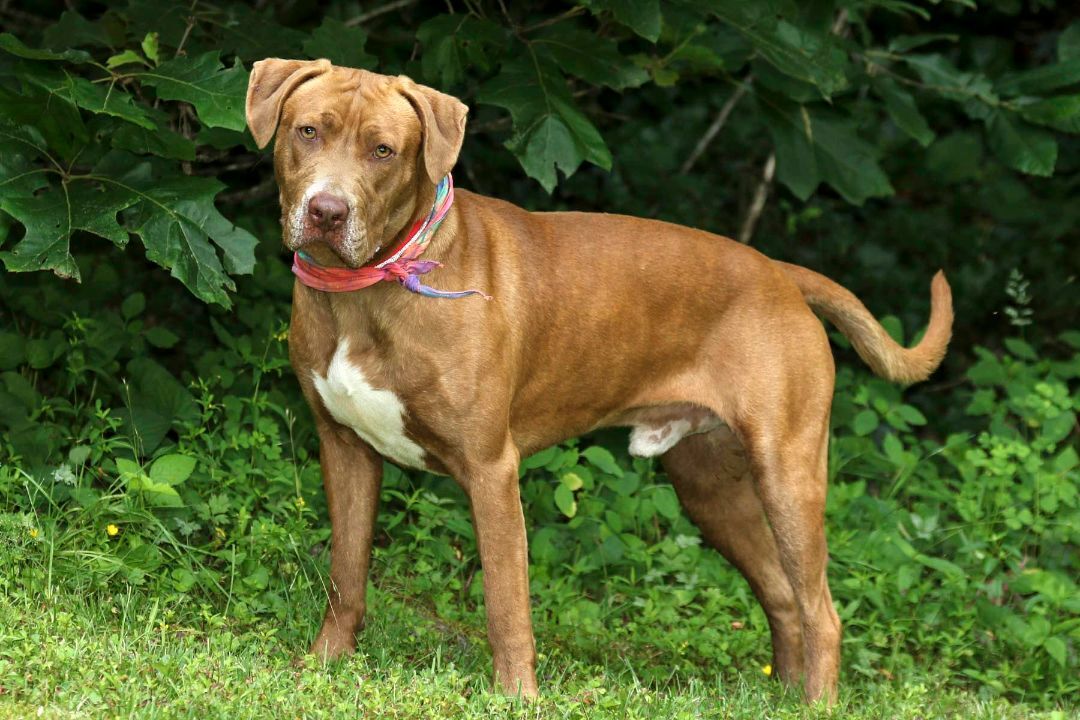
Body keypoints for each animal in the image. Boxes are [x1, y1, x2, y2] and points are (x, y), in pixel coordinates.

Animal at [245, 57, 954, 703]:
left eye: (384, 151)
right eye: (308, 131)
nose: (327, 211)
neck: (369, 289)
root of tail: (782, 273)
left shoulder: (490, 469)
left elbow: (506, 602)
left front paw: (517, 698)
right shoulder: (345, 451)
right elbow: (345, 577)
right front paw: (324, 666)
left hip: (788, 473)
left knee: (822, 612)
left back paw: (814, 703)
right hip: (711, 488)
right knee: (783, 598)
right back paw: (782, 696)